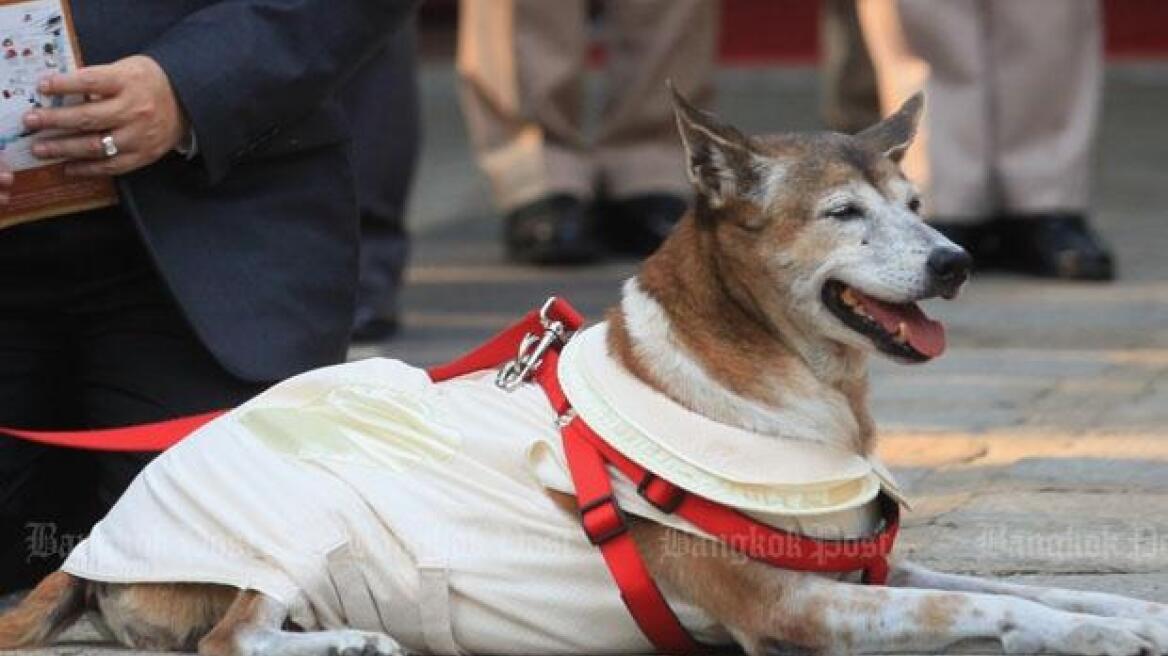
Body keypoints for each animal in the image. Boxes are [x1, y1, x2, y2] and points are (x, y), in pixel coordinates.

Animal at [2, 88, 1168, 653]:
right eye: (844, 213)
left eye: (919, 207)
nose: (957, 261)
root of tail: (91, 549)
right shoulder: (790, 608)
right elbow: (1003, 611)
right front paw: (1094, 638)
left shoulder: (859, 571)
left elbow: (1010, 583)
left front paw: (1133, 617)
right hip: (284, 528)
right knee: (229, 640)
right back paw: (349, 642)